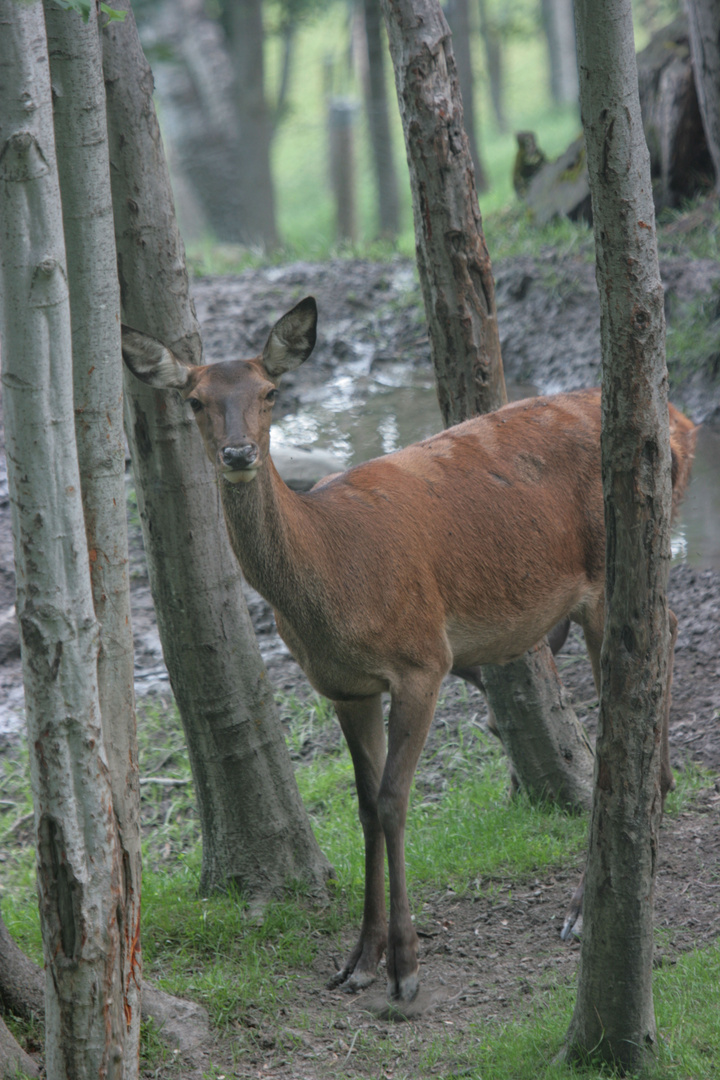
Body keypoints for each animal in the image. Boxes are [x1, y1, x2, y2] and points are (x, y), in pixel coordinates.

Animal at [124, 293, 699, 1002]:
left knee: (650, 646)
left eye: (270, 392)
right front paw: (358, 959)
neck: (332, 576)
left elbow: (396, 800)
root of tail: (682, 425)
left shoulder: (424, 658)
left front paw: (404, 965)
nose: (236, 454)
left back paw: (585, 906)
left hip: (607, 573)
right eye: (196, 399)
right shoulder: (343, 685)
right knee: (667, 626)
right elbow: (366, 806)